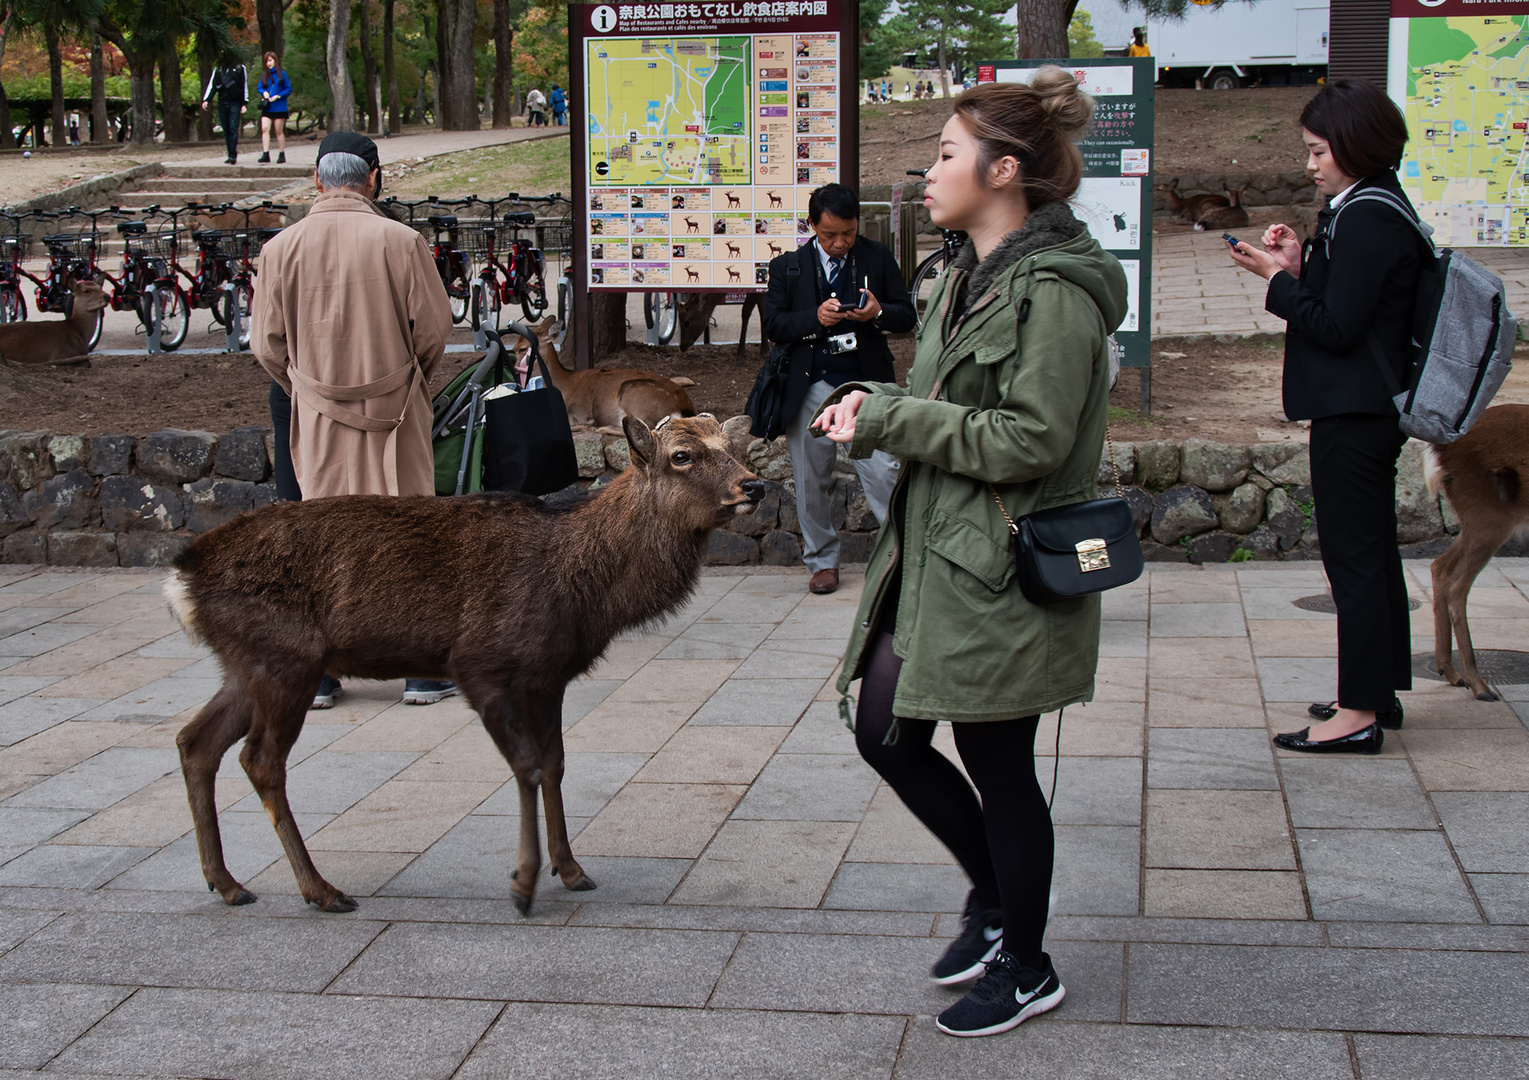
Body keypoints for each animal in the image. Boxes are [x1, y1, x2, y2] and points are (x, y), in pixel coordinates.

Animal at [167, 413, 764, 905]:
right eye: (681, 455)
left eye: (735, 447)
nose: (755, 485)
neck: (582, 590)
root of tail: (179, 577)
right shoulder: (480, 664)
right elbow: (525, 765)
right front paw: (524, 884)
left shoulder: (547, 676)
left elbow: (555, 763)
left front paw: (571, 870)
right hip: (285, 660)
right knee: (260, 759)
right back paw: (319, 889)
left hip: (246, 665)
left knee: (195, 741)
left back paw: (226, 883)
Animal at [519, 312, 700, 434]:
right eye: (515, 346)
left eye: (521, 348)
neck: (564, 385)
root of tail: (685, 408)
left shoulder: (578, 412)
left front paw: (586, 426)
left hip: (633, 391)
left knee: (648, 428)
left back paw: (601, 428)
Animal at [1418, 403, 1529, 697]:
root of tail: (1437, 451)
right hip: (1489, 518)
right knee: (1458, 586)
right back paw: (1479, 685)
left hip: (1474, 520)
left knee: (1440, 566)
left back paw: (1451, 672)